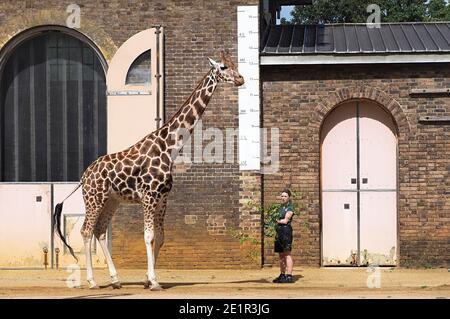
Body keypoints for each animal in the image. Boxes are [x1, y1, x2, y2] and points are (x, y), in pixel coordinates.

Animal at [54, 50, 244, 292]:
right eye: (223, 67)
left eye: (234, 65)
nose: (241, 79)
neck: (169, 147)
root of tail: (84, 176)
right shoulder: (149, 196)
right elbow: (148, 236)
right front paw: (153, 282)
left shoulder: (163, 197)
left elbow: (160, 237)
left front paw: (147, 278)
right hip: (94, 199)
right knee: (86, 231)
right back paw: (92, 281)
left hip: (111, 201)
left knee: (100, 231)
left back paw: (115, 280)